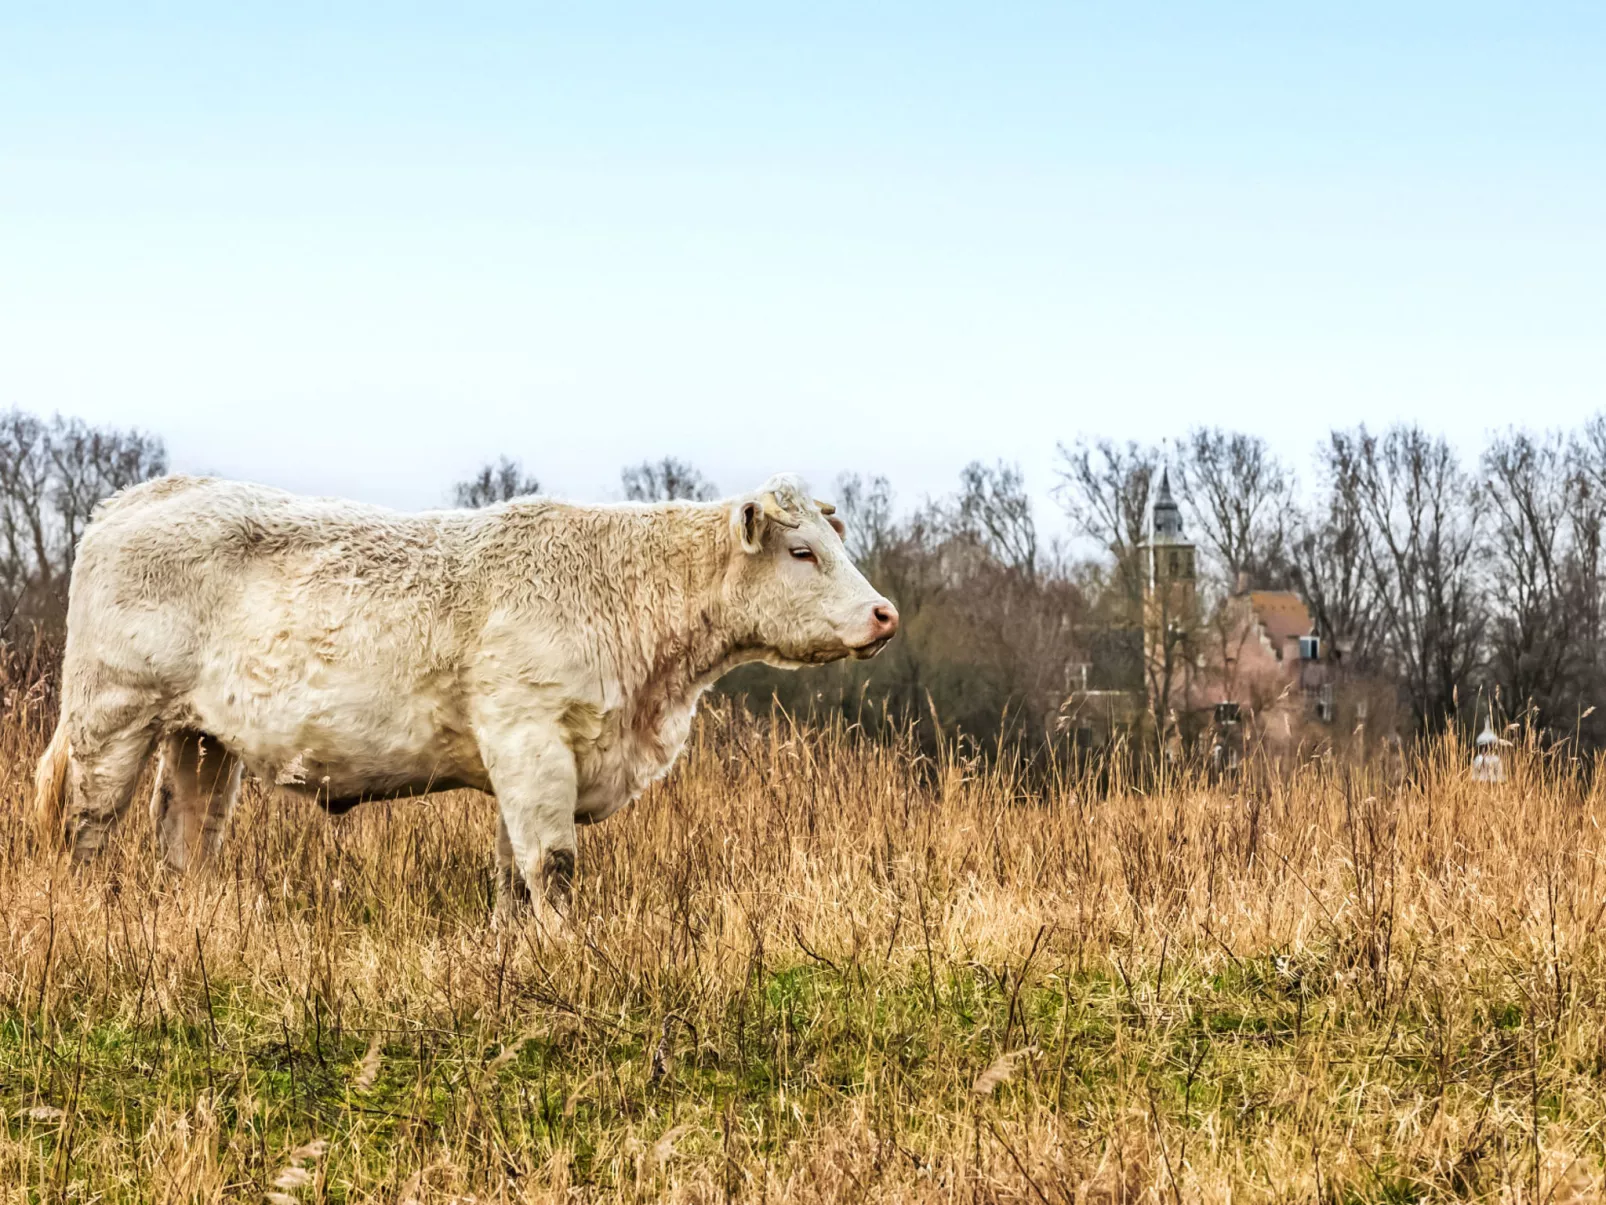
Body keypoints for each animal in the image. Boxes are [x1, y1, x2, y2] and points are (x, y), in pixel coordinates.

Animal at [34, 475, 892, 912]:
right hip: (111, 715)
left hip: (203, 737)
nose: (885, 613)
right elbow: (553, 863)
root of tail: (148, 492)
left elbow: (516, 869)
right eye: (803, 551)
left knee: (187, 833)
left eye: (835, 541)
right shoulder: (530, 737)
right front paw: (569, 950)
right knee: (86, 823)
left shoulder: (528, 761)